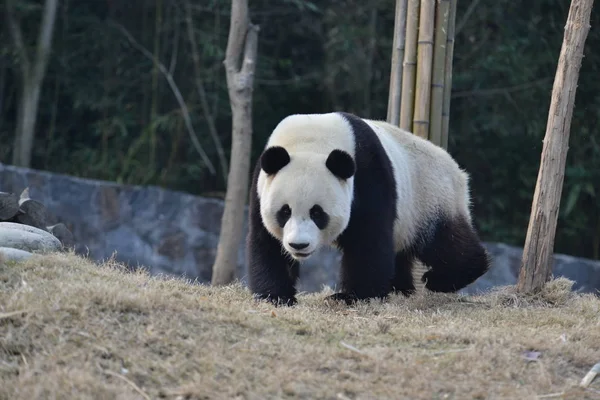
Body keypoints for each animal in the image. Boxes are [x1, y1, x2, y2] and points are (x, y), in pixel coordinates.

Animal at [246, 111, 490, 306]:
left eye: (317, 213)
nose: (298, 245)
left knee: (445, 242)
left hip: (430, 199)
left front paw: (352, 296)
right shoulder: (261, 184)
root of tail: (457, 171)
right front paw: (275, 296)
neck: (311, 140)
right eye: (284, 212)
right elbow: (266, 243)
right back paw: (400, 288)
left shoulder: (367, 174)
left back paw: (441, 278)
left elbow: (368, 239)